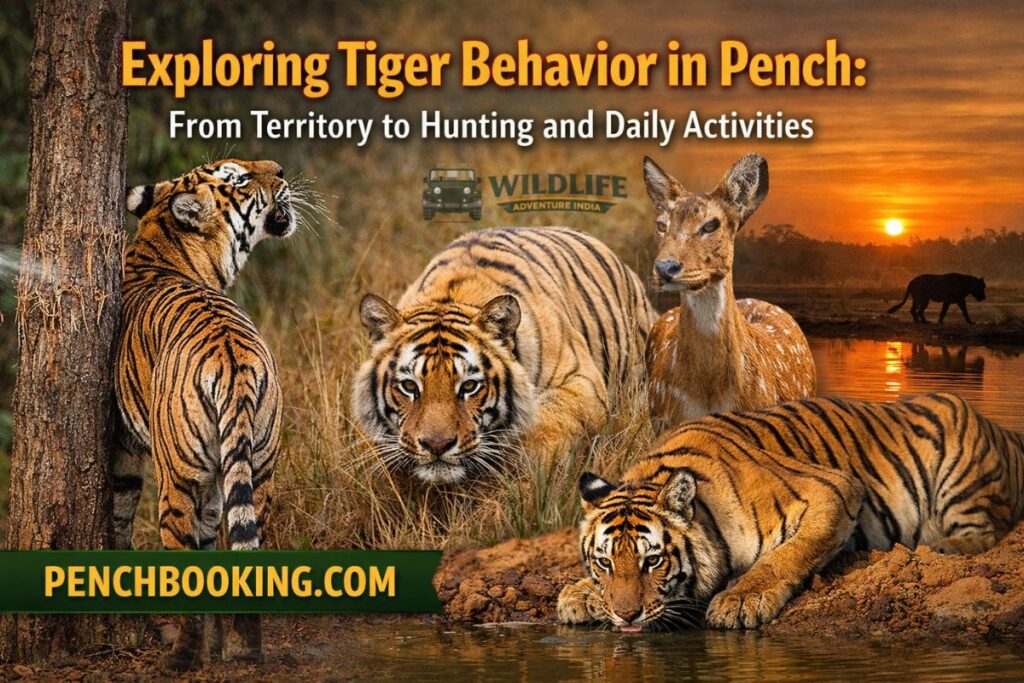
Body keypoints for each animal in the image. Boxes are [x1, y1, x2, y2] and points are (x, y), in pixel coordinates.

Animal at [114, 159, 295, 669]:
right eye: (240, 178)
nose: (280, 169)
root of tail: (233, 357)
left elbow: (119, 518)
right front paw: (219, 645)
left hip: (177, 476)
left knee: (183, 556)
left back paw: (183, 657)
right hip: (259, 467)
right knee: (244, 547)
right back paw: (243, 648)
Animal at [352, 227, 657, 485]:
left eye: (470, 386)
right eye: (409, 386)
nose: (436, 445)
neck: (451, 295)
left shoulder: (581, 381)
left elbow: (547, 423)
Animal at [557, 392, 1024, 631]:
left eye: (652, 561)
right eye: (604, 563)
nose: (626, 615)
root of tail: (1000, 429)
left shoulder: (832, 489)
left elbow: (786, 555)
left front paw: (741, 600)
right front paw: (579, 594)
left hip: (962, 475)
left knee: (988, 530)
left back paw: (941, 547)